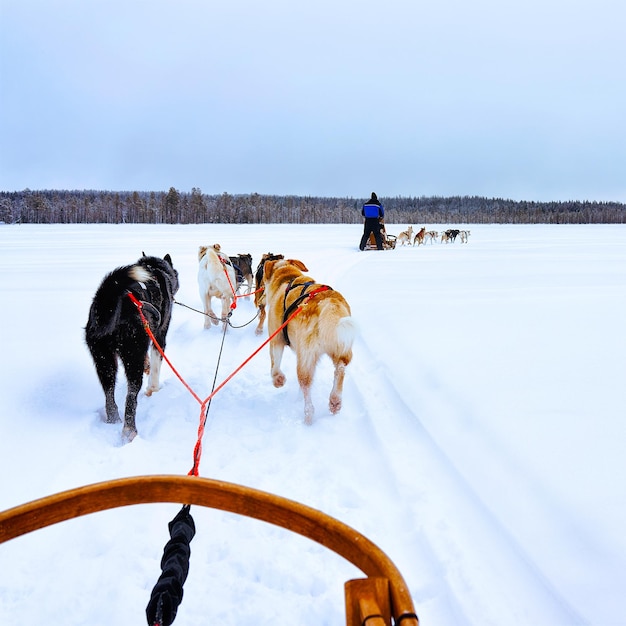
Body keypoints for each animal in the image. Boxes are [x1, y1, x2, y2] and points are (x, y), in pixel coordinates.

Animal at [84, 252, 178, 438]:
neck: (155, 269)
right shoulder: (159, 337)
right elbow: (155, 367)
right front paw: (153, 389)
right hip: (132, 357)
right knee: (131, 397)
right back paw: (129, 430)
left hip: (104, 362)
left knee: (109, 395)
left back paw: (113, 419)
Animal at [260, 256, 354, 422]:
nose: (262, 298)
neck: (287, 278)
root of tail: (328, 302)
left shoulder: (276, 339)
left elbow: (275, 365)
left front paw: (278, 380)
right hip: (340, 348)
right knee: (341, 369)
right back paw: (335, 400)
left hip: (306, 358)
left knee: (306, 386)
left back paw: (308, 414)